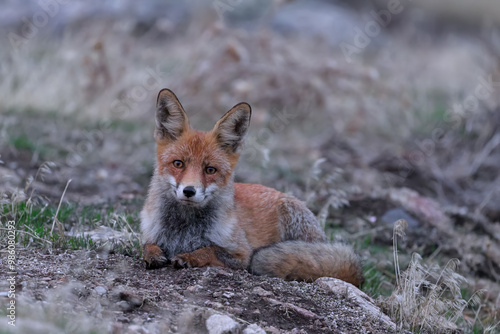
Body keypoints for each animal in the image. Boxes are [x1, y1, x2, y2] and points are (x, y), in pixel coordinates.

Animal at [141, 88, 364, 288]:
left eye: (210, 169)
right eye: (178, 164)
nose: (189, 191)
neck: (183, 231)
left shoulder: (242, 254)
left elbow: (211, 249)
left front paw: (189, 257)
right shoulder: (150, 233)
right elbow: (147, 245)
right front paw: (153, 254)